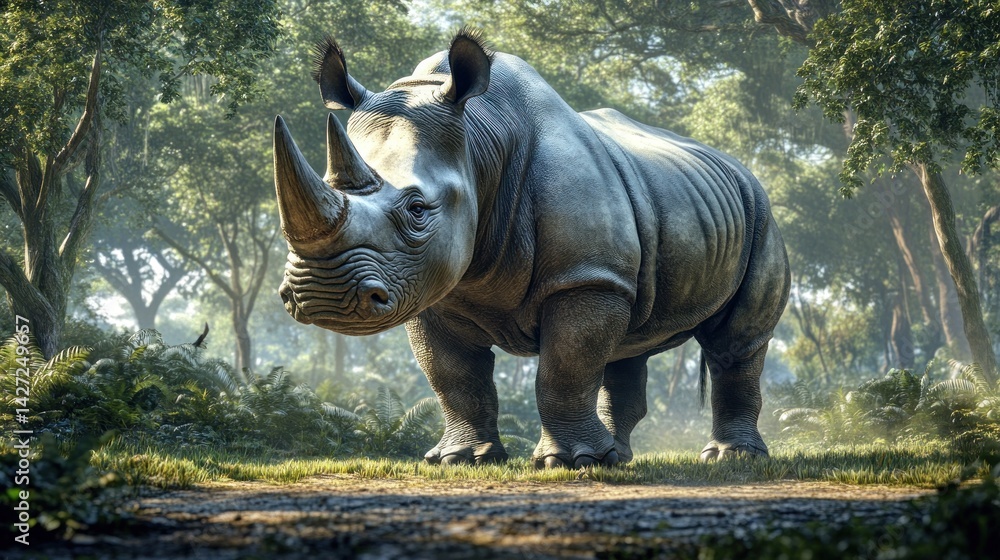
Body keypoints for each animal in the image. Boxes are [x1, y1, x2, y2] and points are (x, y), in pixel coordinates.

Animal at [274, 29, 790, 468]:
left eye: (417, 209)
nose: (322, 297)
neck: (481, 142)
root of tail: (737, 166)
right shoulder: (430, 289)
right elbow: (454, 377)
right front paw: (463, 459)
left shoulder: (583, 276)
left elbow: (565, 367)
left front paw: (570, 462)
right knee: (629, 344)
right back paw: (618, 457)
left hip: (760, 212)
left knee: (736, 343)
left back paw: (729, 458)